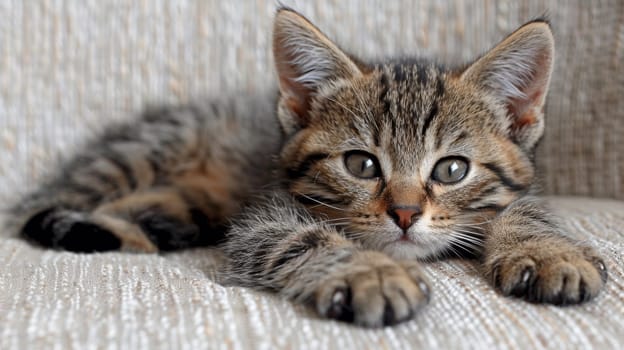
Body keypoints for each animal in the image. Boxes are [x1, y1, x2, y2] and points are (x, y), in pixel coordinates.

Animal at [12, 8, 608, 326]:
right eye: (361, 164)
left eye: (451, 170)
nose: (405, 214)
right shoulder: (263, 218)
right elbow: (306, 239)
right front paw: (368, 272)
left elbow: (523, 211)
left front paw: (547, 253)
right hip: (140, 153)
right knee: (33, 207)